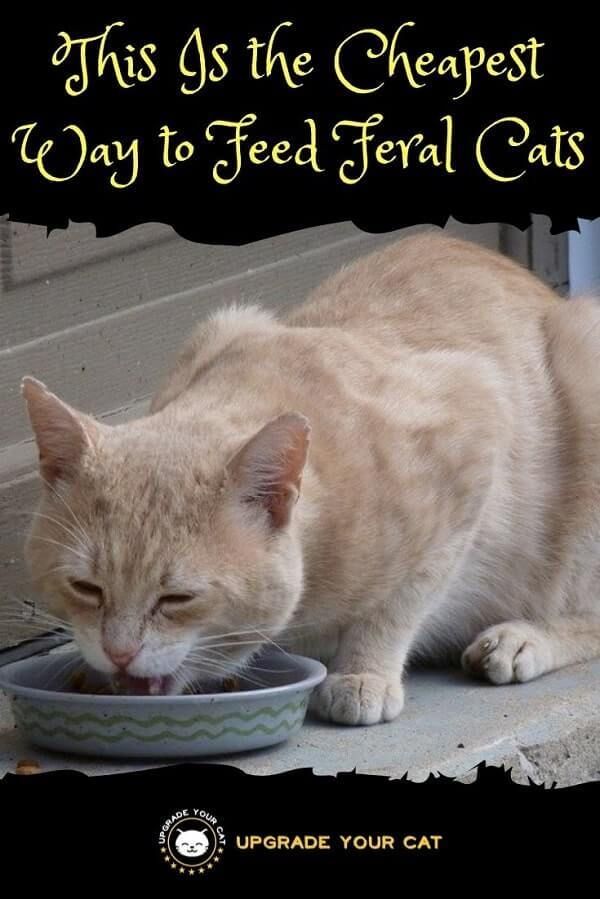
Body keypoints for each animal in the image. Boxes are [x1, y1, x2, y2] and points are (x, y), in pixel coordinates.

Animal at [21, 232, 600, 724]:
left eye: (177, 599)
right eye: (85, 588)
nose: (118, 654)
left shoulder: (477, 426)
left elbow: (400, 601)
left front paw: (363, 672)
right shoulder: (223, 323)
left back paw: (521, 639)